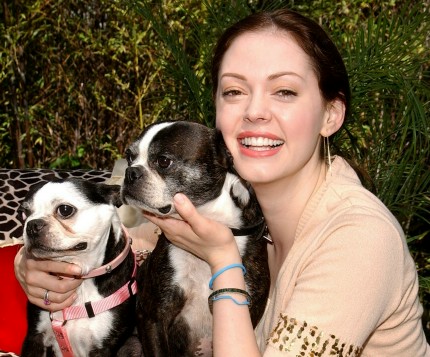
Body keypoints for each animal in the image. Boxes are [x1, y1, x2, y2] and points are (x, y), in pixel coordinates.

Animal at [19, 178, 140, 356]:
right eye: (24, 213)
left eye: (65, 210)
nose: (32, 225)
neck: (83, 279)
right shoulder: (35, 337)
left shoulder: (104, 347)